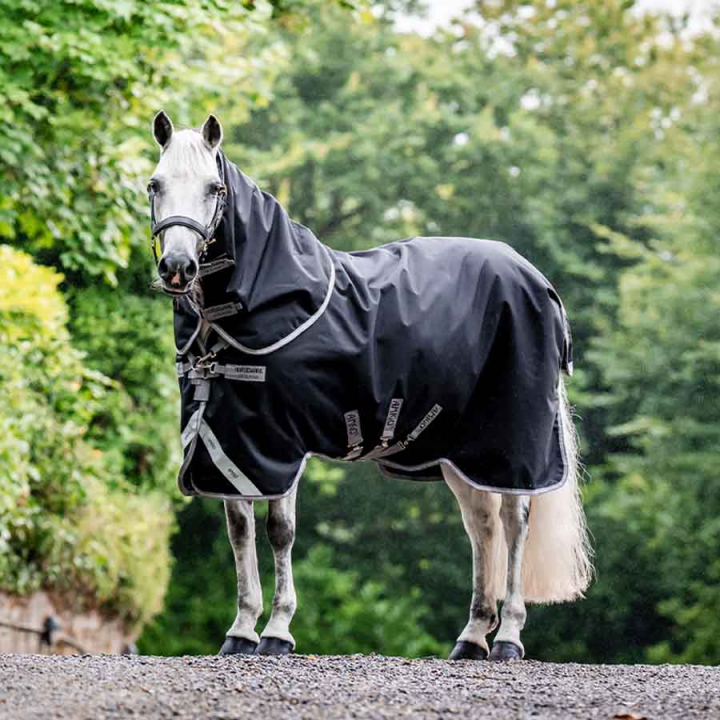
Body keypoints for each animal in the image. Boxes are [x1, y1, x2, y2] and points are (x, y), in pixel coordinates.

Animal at [148, 110, 592, 661]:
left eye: (214, 188)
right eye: (155, 184)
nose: (177, 267)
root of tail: (537, 280)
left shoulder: (280, 443)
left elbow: (279, 532)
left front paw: (277, 631)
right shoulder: (233, 443)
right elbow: (239, 531)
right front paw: (241, 630)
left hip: (512, 441)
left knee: (514, 521)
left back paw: (508, 636)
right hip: (464, 452)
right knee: (483, 526)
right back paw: (471, 637)